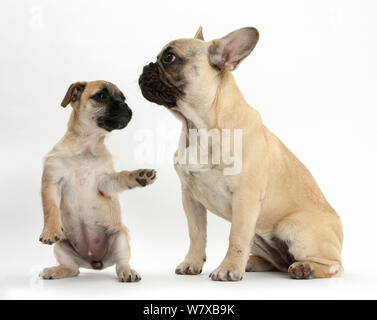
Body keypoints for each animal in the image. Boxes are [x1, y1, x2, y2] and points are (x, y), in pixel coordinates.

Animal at [39, 80, 155, 282]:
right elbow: (50, 209)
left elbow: (121, 176)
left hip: (120, 237)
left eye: (123, 98)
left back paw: (128, 272)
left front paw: (138, 175)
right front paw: (50, 231)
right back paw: (55, 271)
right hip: (61, 247)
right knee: (72, 269)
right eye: (101, 96)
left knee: (121, 263)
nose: (124, 105)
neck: (87, 145)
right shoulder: (51, 182)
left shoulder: (105, 183)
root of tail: (95, 262)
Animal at [139, 26, 344, 280]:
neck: (198, 127)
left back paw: (304, 268)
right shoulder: (190, 197)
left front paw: (228, 270)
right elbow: (196, 234)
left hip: (294, 228)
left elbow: (236, 236)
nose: (145, 67)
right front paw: (192, 262)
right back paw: (252, 262)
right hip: (259, 235)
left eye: (169, 58)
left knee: (334, 266)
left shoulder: (245, 197)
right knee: (275, 262)